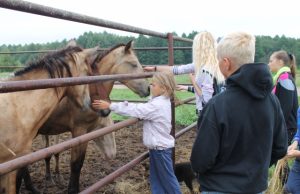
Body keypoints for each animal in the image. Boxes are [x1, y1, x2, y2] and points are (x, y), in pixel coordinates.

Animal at [18, 40, 149, 193]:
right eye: (133, 64)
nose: (148, 89)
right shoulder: (79, 130)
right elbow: (76, 164)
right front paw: (73, 189)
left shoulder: (88, 132)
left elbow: (79, 162)